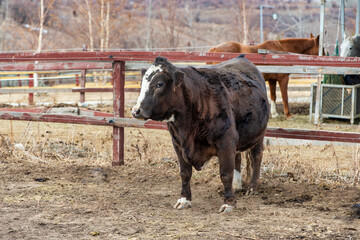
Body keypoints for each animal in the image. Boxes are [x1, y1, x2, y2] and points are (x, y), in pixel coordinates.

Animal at [131, 55, 268, 213]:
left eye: (159, 84)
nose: (136, 111)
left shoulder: (226, 142)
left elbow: (225, 174)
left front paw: (229, 203)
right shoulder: (178, 144)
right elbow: (185, 173)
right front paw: (184, 200)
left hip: (258, 135)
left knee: (256, 155)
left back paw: (252, 187)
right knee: (238, 157)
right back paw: (237, 185)